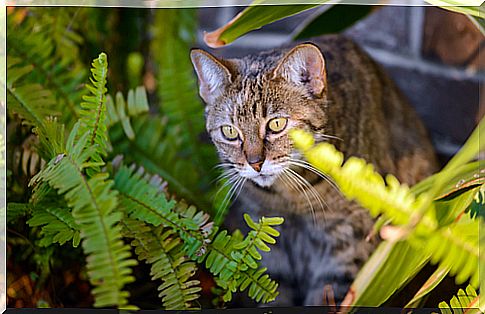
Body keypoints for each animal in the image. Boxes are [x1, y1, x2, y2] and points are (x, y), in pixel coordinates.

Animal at [189, 35, 438, 306]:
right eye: (230, 132)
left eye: (277, 124)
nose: (255, 163)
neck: (290, 197)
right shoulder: (267, 238)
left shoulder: (348, 242)